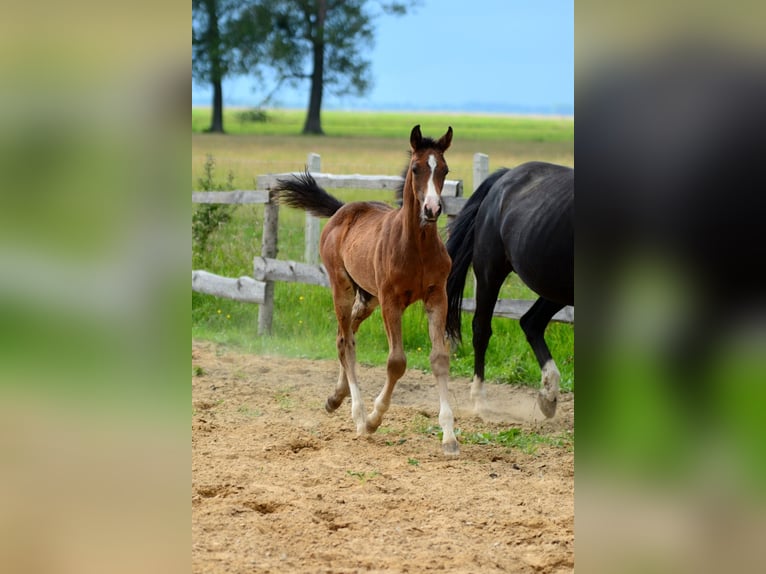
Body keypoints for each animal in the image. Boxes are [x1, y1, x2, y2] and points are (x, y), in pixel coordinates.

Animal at [274, 125, 459, 455]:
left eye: (445, 169)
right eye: (416, 168)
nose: (432, 208)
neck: (416, 247)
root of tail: (342, 210)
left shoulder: (437, 296)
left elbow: (439, 358)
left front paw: (449, 436)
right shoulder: (391, 301)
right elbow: (396, 362)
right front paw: (374, 419)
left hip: (368, 297)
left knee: (346, 333)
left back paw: (336, 397)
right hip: (343, 288)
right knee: (345, 341)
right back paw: (358, 414)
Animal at [445, 161, 573, 418]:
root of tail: (505, 176)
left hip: (557, 288)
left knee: (531, 322)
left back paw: (548, 397)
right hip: (489, 272)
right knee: (482, 330)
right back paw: (480, 401)